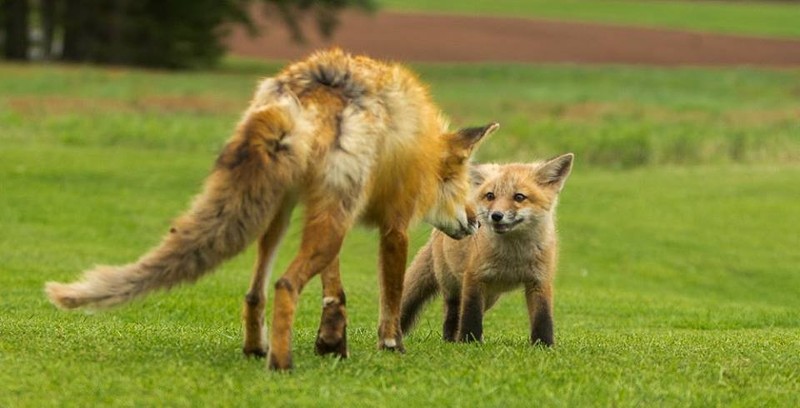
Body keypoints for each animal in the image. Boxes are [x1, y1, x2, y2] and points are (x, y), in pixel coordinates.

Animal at [43, 49, 496, 372]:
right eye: (467, 185)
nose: (477, 223)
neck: (418, 146)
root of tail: (312, 88)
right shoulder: (393, 226)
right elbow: (391, 297)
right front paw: (391, 345)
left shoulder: (335, 211)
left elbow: (334, 289)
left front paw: (332, 341)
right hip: (310, 219)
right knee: (285, 285)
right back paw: (281, 363)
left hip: (280, 215)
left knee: (255, 291)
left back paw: (256, 348)